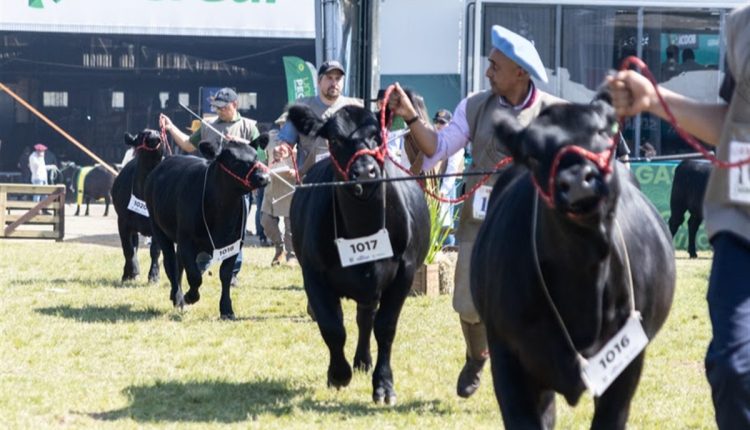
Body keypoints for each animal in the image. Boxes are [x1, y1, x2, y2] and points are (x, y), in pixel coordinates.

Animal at [111, 128, 166, 282]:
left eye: (159, 133)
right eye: (143, 134)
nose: (153, 137)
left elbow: (155, 250)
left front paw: (154, 275)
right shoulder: (123, 223)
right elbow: (128, 249)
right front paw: (133, 271)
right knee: (132, 247)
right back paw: (127, 273)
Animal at [144, 135, 270, 320]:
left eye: (256, 157)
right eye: (234, 161)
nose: (264, 177)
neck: (222, 214)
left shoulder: (235, 244)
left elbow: (225, 275)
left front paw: (227, 309)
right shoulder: (187, 242)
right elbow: (195, 276)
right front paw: (190, 297)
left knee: (178, 263)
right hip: (159, 229)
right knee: (170, 263)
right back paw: (178, 297)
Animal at [288, 103, 428, 404]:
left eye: (377, 135)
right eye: (335, 139)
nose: (364, 171)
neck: (363, 227)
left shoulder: (405, 272)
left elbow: (385, 328)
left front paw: (384, 385)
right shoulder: (313, 274)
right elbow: (332, 326)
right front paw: (338, 374)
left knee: (367, 319)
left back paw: (364, 361)